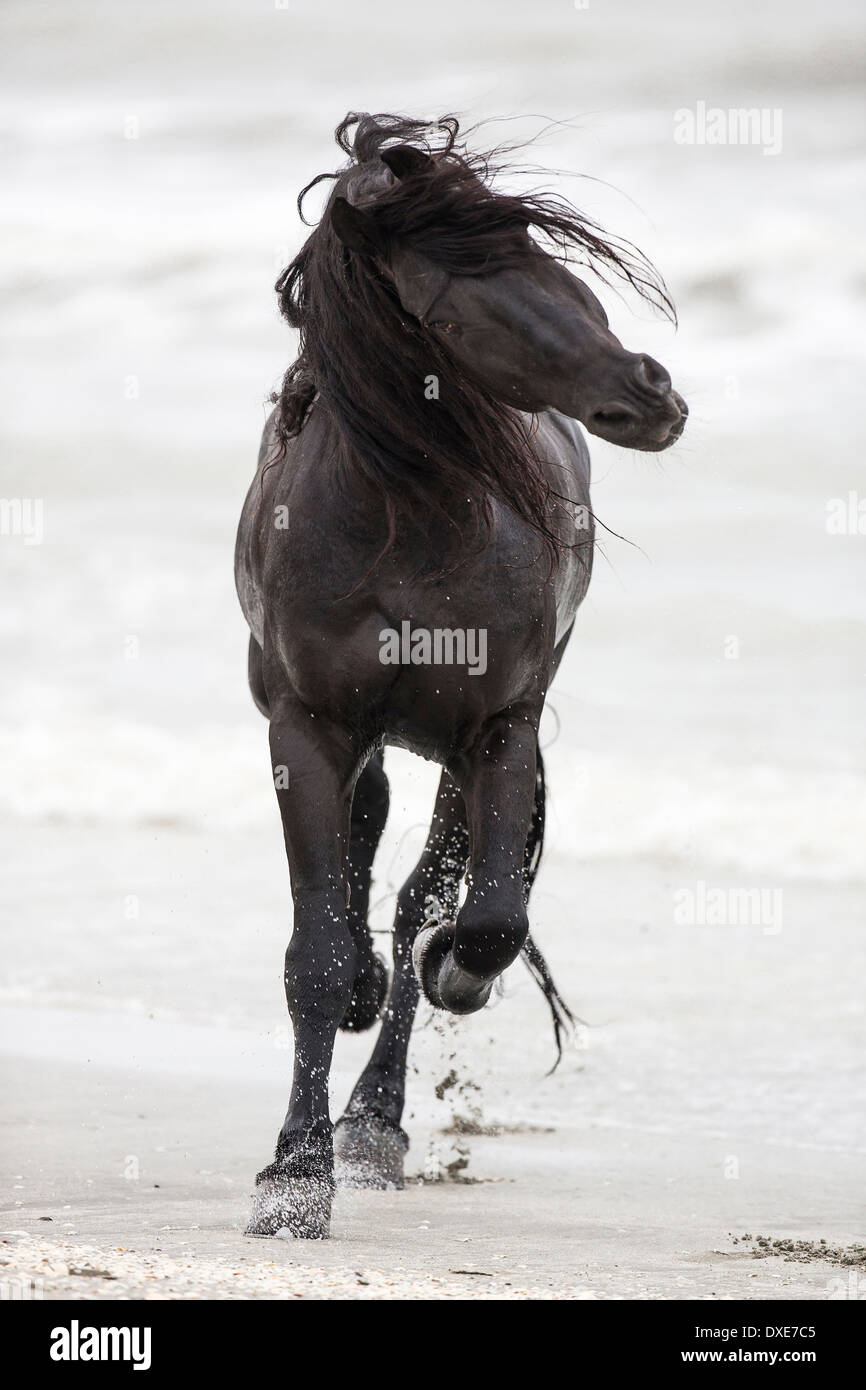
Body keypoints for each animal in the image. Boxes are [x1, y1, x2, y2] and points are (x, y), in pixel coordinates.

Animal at [234, 112, 687, 1238]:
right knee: (362, 851)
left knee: (418, 895)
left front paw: (450, 975)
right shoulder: (304, 726)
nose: (652, 390)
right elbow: (314, 955)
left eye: (533, 246)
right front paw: (293, 1181)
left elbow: (480, 918)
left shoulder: (496, 729)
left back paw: (376, 1121)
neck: (402, 522)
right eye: (459, 286)